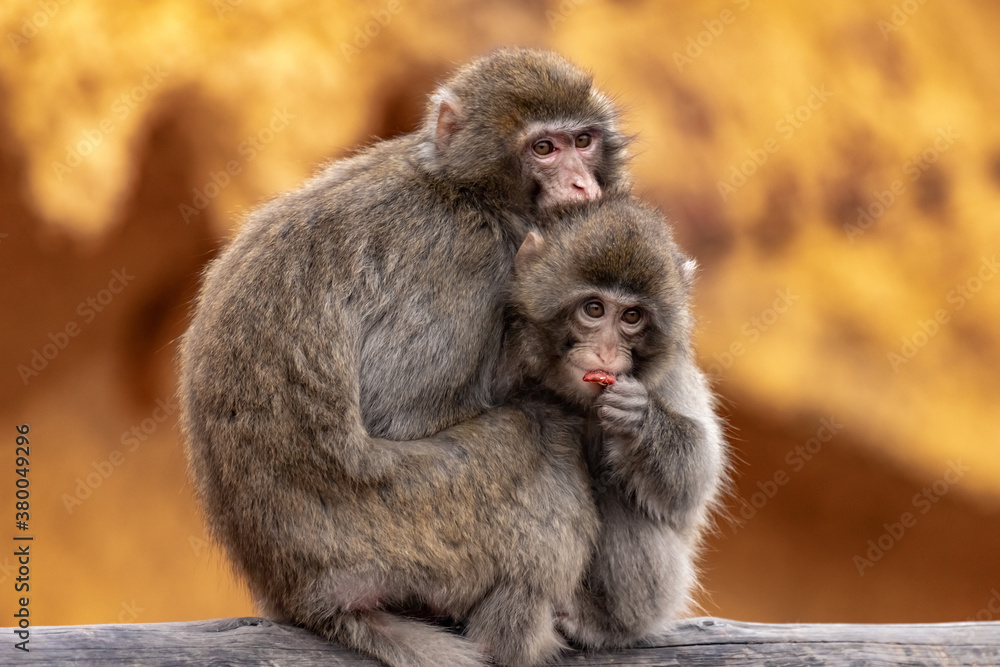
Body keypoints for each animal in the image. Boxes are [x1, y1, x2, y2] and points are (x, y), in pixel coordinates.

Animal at [178, 48, 629, 667]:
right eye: (544, 149)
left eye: (583, 140)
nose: (583, 185)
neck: (463, 189)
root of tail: (298, 596)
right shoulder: (464, 257)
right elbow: (402, 414)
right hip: (403, 534)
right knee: (537, 440)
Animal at [500, 194, 727, 649]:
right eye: (594, 309)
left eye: (632, 317)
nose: (606, 353)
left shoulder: (669, 374)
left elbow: (693, 483)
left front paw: (641, 421)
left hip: (663, 591)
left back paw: (605, 623)